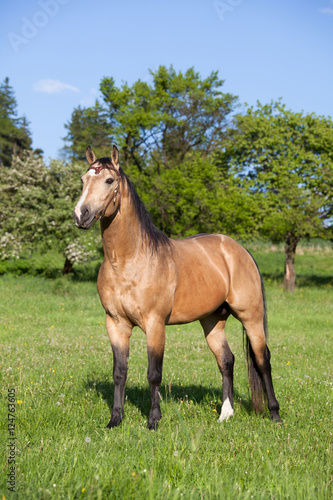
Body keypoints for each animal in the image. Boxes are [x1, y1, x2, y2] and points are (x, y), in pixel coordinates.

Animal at [72, 145, 280, 430]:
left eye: (109, 180)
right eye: (83, 180)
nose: (81, 214)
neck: (128, 260)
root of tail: (239, 249)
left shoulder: (155, 324)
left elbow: (154, 373)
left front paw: (153, 420)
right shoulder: (115, 324)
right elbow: (119, 372)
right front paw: (115, 419)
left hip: (252, 318)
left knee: (262, 360)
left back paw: (275, 413)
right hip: (212, 321)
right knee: (226, 360)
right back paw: (225, 414)